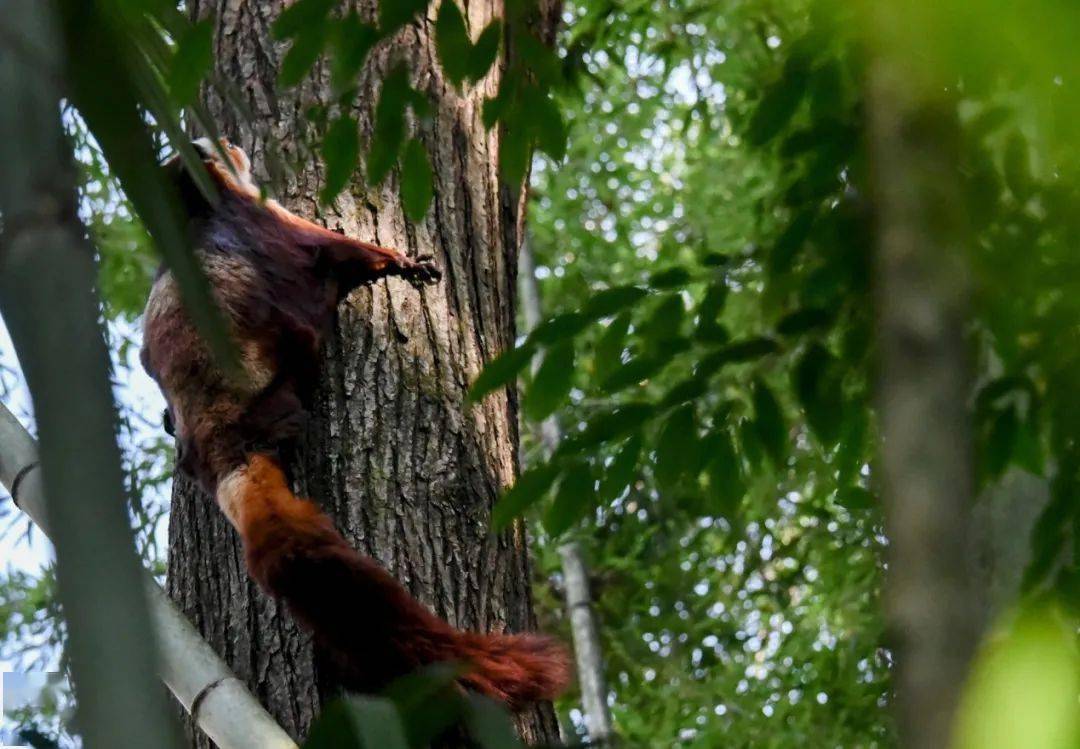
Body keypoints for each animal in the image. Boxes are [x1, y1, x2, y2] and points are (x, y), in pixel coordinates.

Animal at [143, 139, 574, 707]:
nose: (232, 143)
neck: (196, 207)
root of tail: (224, 444)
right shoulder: (266, 218)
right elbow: (329, 250)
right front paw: (402, 261)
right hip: (279, 367)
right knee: (304, 316)